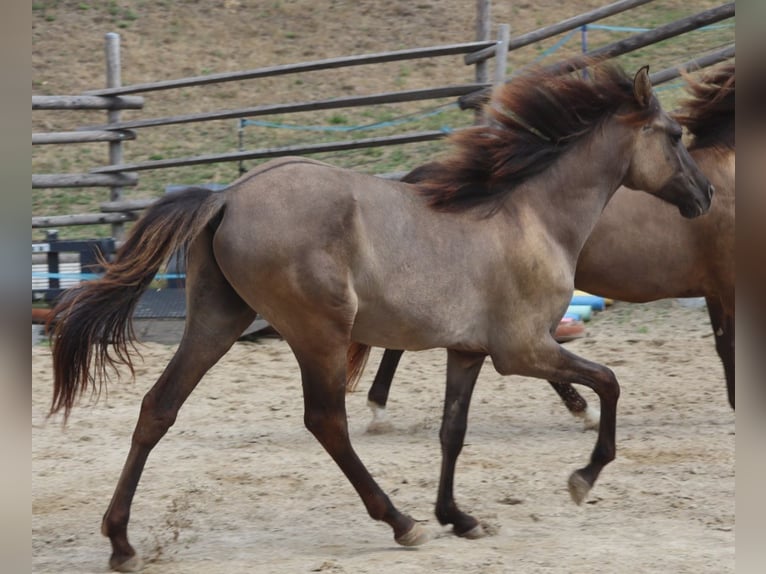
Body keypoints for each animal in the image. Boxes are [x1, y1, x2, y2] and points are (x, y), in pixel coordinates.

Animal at [365, 62, 735, 433]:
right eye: (674, 135)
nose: (706, 193)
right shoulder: (727, 286)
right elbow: (729, 345)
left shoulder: (715, 290)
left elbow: (723, 345)